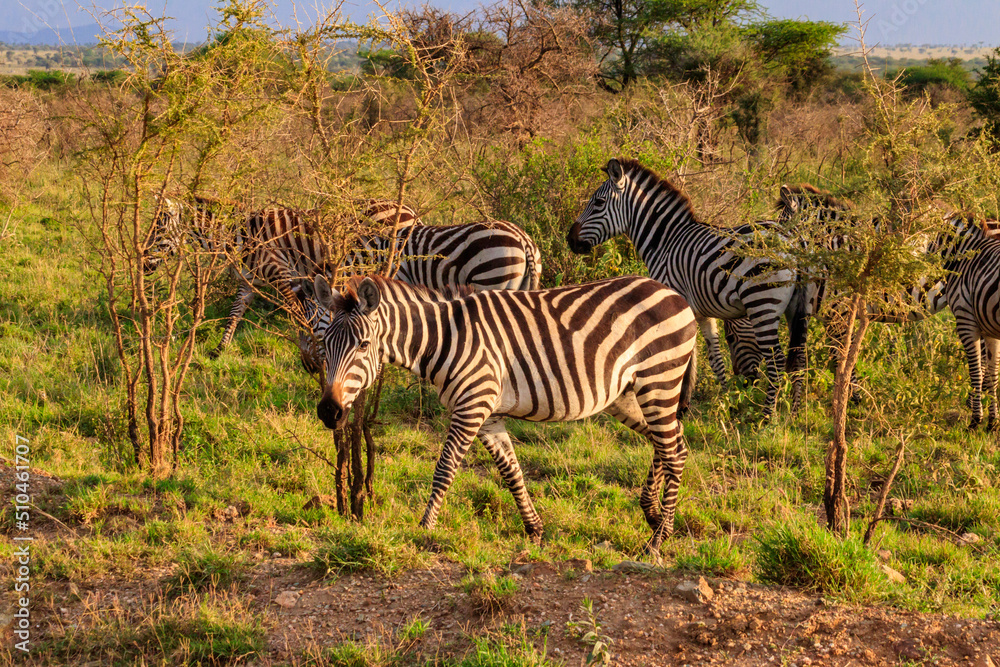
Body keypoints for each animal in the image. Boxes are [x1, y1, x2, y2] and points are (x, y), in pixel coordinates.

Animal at [307, 273, 698, 555]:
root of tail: (674, 294)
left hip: (658, 381)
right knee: (669, 442)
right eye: (325, 344)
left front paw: (424, 530)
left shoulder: (472, 406)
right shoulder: (488, 415)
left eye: (363, 345)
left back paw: (658, 539)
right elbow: (512, 473)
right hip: (628, 394)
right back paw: (652, 514)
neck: (443, 339)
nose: (329, 412)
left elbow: (444, 470)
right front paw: (535, 531)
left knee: (675, 452)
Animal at [567, 158, 806, 417]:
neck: (664, 242)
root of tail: (792, 239)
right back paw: (795, 413)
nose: (570, 240)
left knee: (776, 361)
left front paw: (679, 404)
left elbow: (681, 355)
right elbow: (713, 358)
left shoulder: (673, 301)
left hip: (763, 302)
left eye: (598, 203)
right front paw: (723, 402)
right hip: (795, 307)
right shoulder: (700, 311)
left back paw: (766, 417)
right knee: (798, 356)